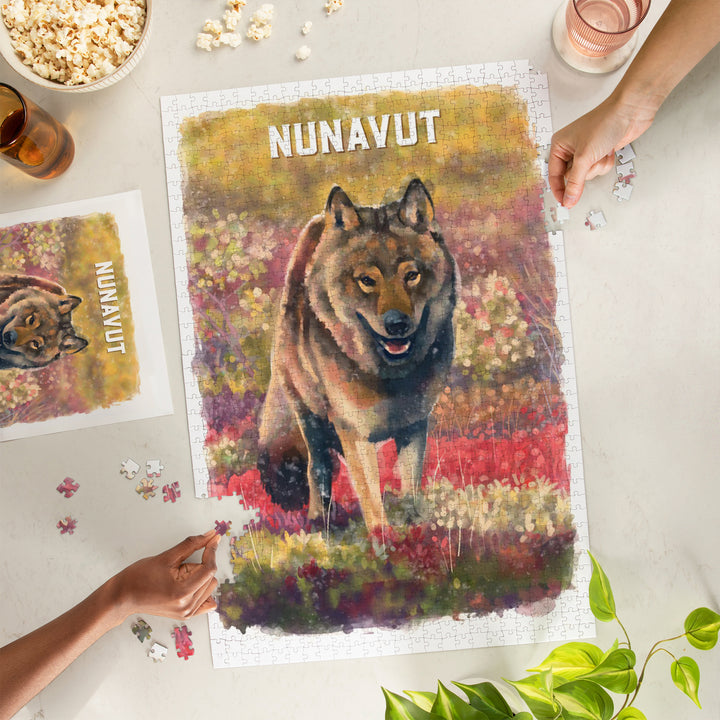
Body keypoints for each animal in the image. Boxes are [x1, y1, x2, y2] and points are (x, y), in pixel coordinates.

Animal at [258, 179, 459, 530]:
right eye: (367, 280)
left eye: (412, 275)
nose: (397, 324)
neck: (389, 376)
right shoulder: (354, 434)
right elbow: (372, 502)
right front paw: (383, 540)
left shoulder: (414, 426)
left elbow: (410, 490)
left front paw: (416, 530)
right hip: (309, 419)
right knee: (317, 469)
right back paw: (320, 524)